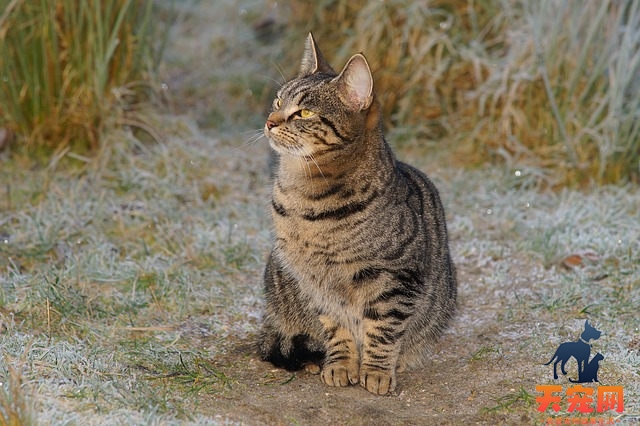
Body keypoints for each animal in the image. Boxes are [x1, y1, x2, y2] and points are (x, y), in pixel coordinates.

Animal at [258, 33, 458, 396]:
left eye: (303, 112)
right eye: (278, 102)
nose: (269, 122)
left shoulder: (395, 279)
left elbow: (382, 330)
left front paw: (377, 371)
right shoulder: (316, 284)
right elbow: (336, 329)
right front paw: (340, 364)